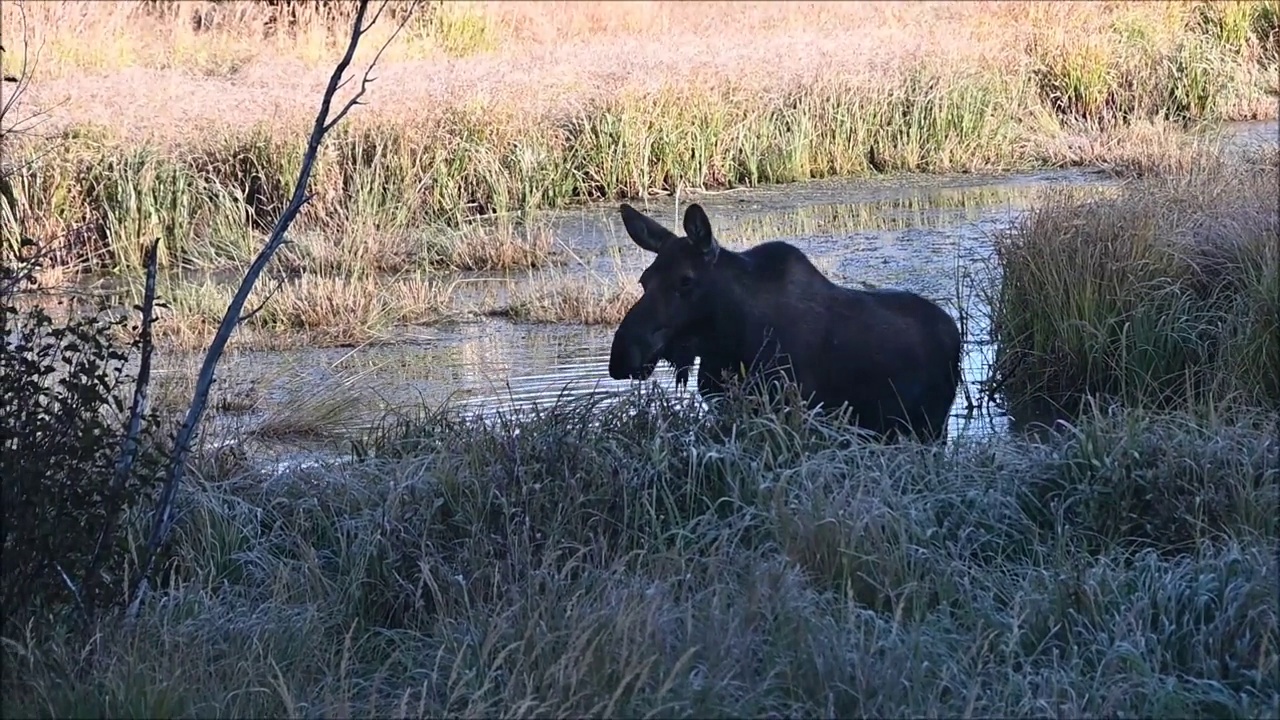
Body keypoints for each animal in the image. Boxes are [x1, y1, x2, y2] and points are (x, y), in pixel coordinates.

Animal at [606, 198, 962, 440]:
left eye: (685, 280)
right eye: (644, 280)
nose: (623, 353)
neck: (726, 341)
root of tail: (953, 331)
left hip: (929, 427)